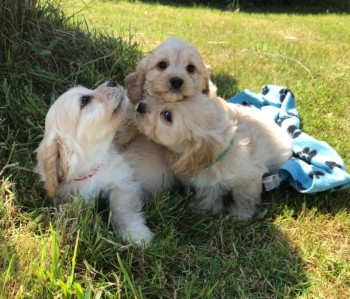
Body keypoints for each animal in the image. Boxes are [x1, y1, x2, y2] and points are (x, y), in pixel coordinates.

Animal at [134, 95, 292, 221]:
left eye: (167, 116)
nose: (141, 106)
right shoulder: (207, 179)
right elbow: (208, 194)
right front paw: (203, 208)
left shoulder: (248, 178)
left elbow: (244, 198)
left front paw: (241, 214)